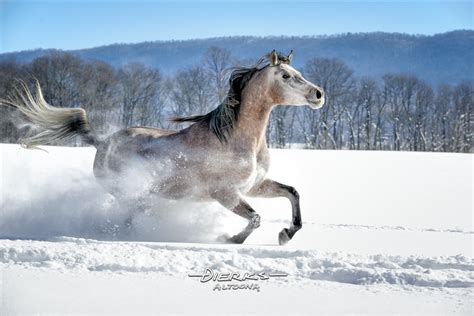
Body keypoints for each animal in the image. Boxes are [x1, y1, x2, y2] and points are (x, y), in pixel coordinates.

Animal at [3, 51, 324, 244]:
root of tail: (102, 143)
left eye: (297, 71)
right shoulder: (224, 193)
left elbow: (292, 192)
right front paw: (232, 239)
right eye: (286, 76)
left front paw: (287, 233)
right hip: (132, 194)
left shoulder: (253, 186)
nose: (318, 94)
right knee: (128, 218)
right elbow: (255, 218)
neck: (235, 138)